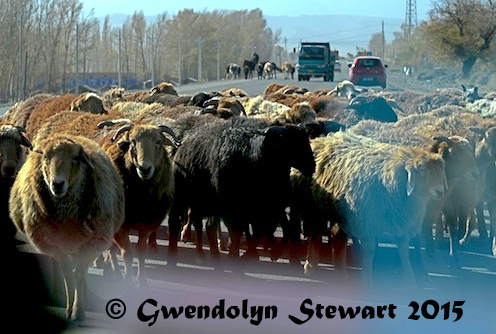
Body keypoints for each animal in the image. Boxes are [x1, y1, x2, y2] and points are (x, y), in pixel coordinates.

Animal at [8, 134, 125, 320]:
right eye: (46, 157)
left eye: (75, 158)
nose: (57, 184)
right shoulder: (54, 245)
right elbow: (68, 274)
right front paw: (70, 309)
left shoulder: (91, 244)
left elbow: (79, 274)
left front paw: (78, 311)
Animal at [100, 120, 179, 288]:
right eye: (133, 142)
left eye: (158, 142)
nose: (144, 169)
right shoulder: (121, 226)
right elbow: (127, 254)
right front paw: (128, 283)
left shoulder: (147, 224)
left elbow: (141, 252)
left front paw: (142, 282)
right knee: (111, 249)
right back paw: (114, 273)